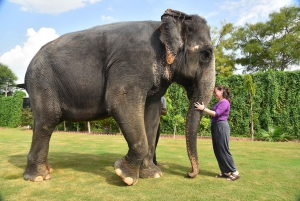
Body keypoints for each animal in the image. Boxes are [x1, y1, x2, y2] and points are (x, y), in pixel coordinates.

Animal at [21, 9, 214, 185]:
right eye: (206, 54)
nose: (189, 174)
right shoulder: (131, 64)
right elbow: (120, 103)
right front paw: (125, 175)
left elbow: (152, 115)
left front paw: (152, 174)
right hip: (42, 82)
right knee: (48, 120)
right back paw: (39, 177)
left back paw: (47, 170)